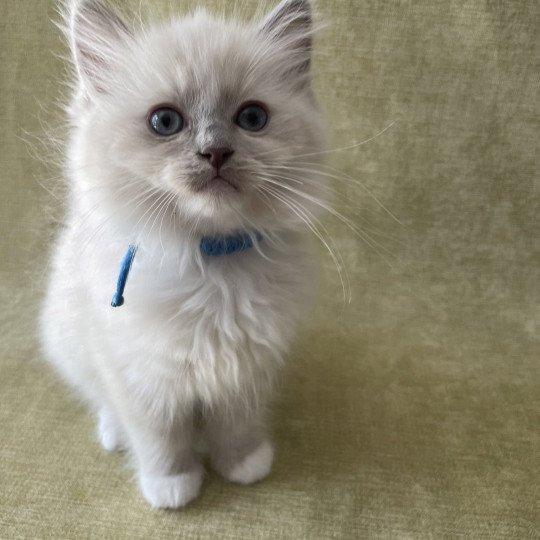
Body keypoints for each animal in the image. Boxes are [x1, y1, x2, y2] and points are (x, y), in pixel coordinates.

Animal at [40, 0, 326, 508]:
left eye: (252, 118)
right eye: (165, 122)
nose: (216, 152)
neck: (211, 263)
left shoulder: (246, 369)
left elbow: (236, 428)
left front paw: (244, 465)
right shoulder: (140, 377)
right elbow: (160, 440)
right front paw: (172, 487)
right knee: (103, 403)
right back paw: (113, 434)